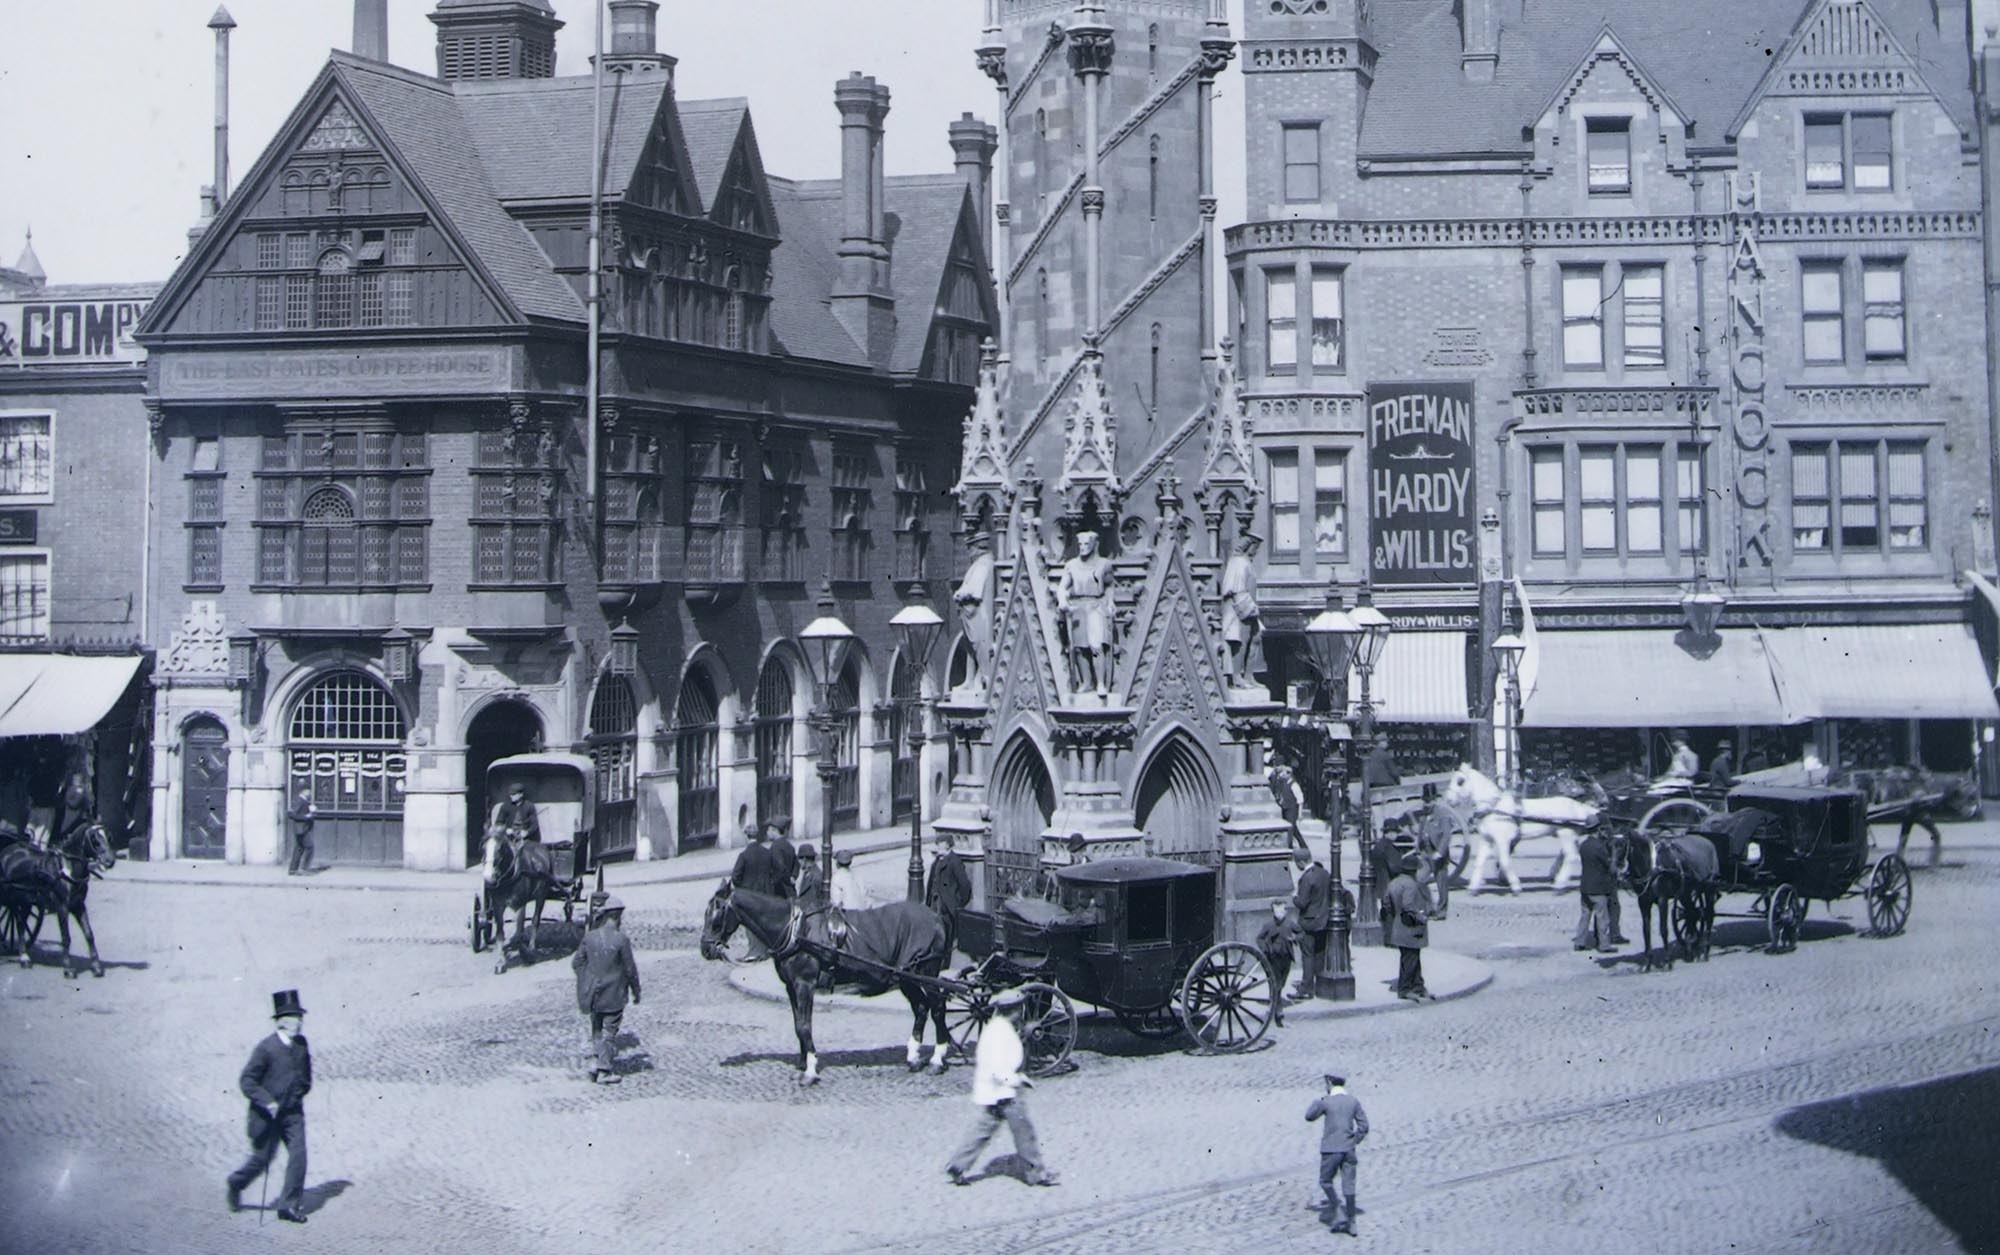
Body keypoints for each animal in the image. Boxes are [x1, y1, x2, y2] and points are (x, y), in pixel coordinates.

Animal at [704, 887, 952, 1087]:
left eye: (716, 914)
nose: (705, 949)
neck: (796, 931)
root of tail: (935, 916)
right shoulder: (791, 986)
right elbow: (798, 1026)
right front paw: (802, 1064)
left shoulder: (804, 984)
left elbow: (805, 1026)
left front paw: (810, 1071)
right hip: (906, 977)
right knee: (921, 1009)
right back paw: (913, 1058)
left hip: (925, 972)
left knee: (937, 1007)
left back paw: (937, 1059)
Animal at [1448, 763, 1600, 891]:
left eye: (1460, 781)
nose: (1448, 799)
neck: (1495, 807)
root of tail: (1577, 806)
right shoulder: (1489, 838)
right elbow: (1483, 860)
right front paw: (1478, 885)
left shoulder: (1503, 839)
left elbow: (1504, 859)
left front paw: (1511, 883)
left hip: (1566, 833)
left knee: (1571, 856)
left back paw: (1559, 883)